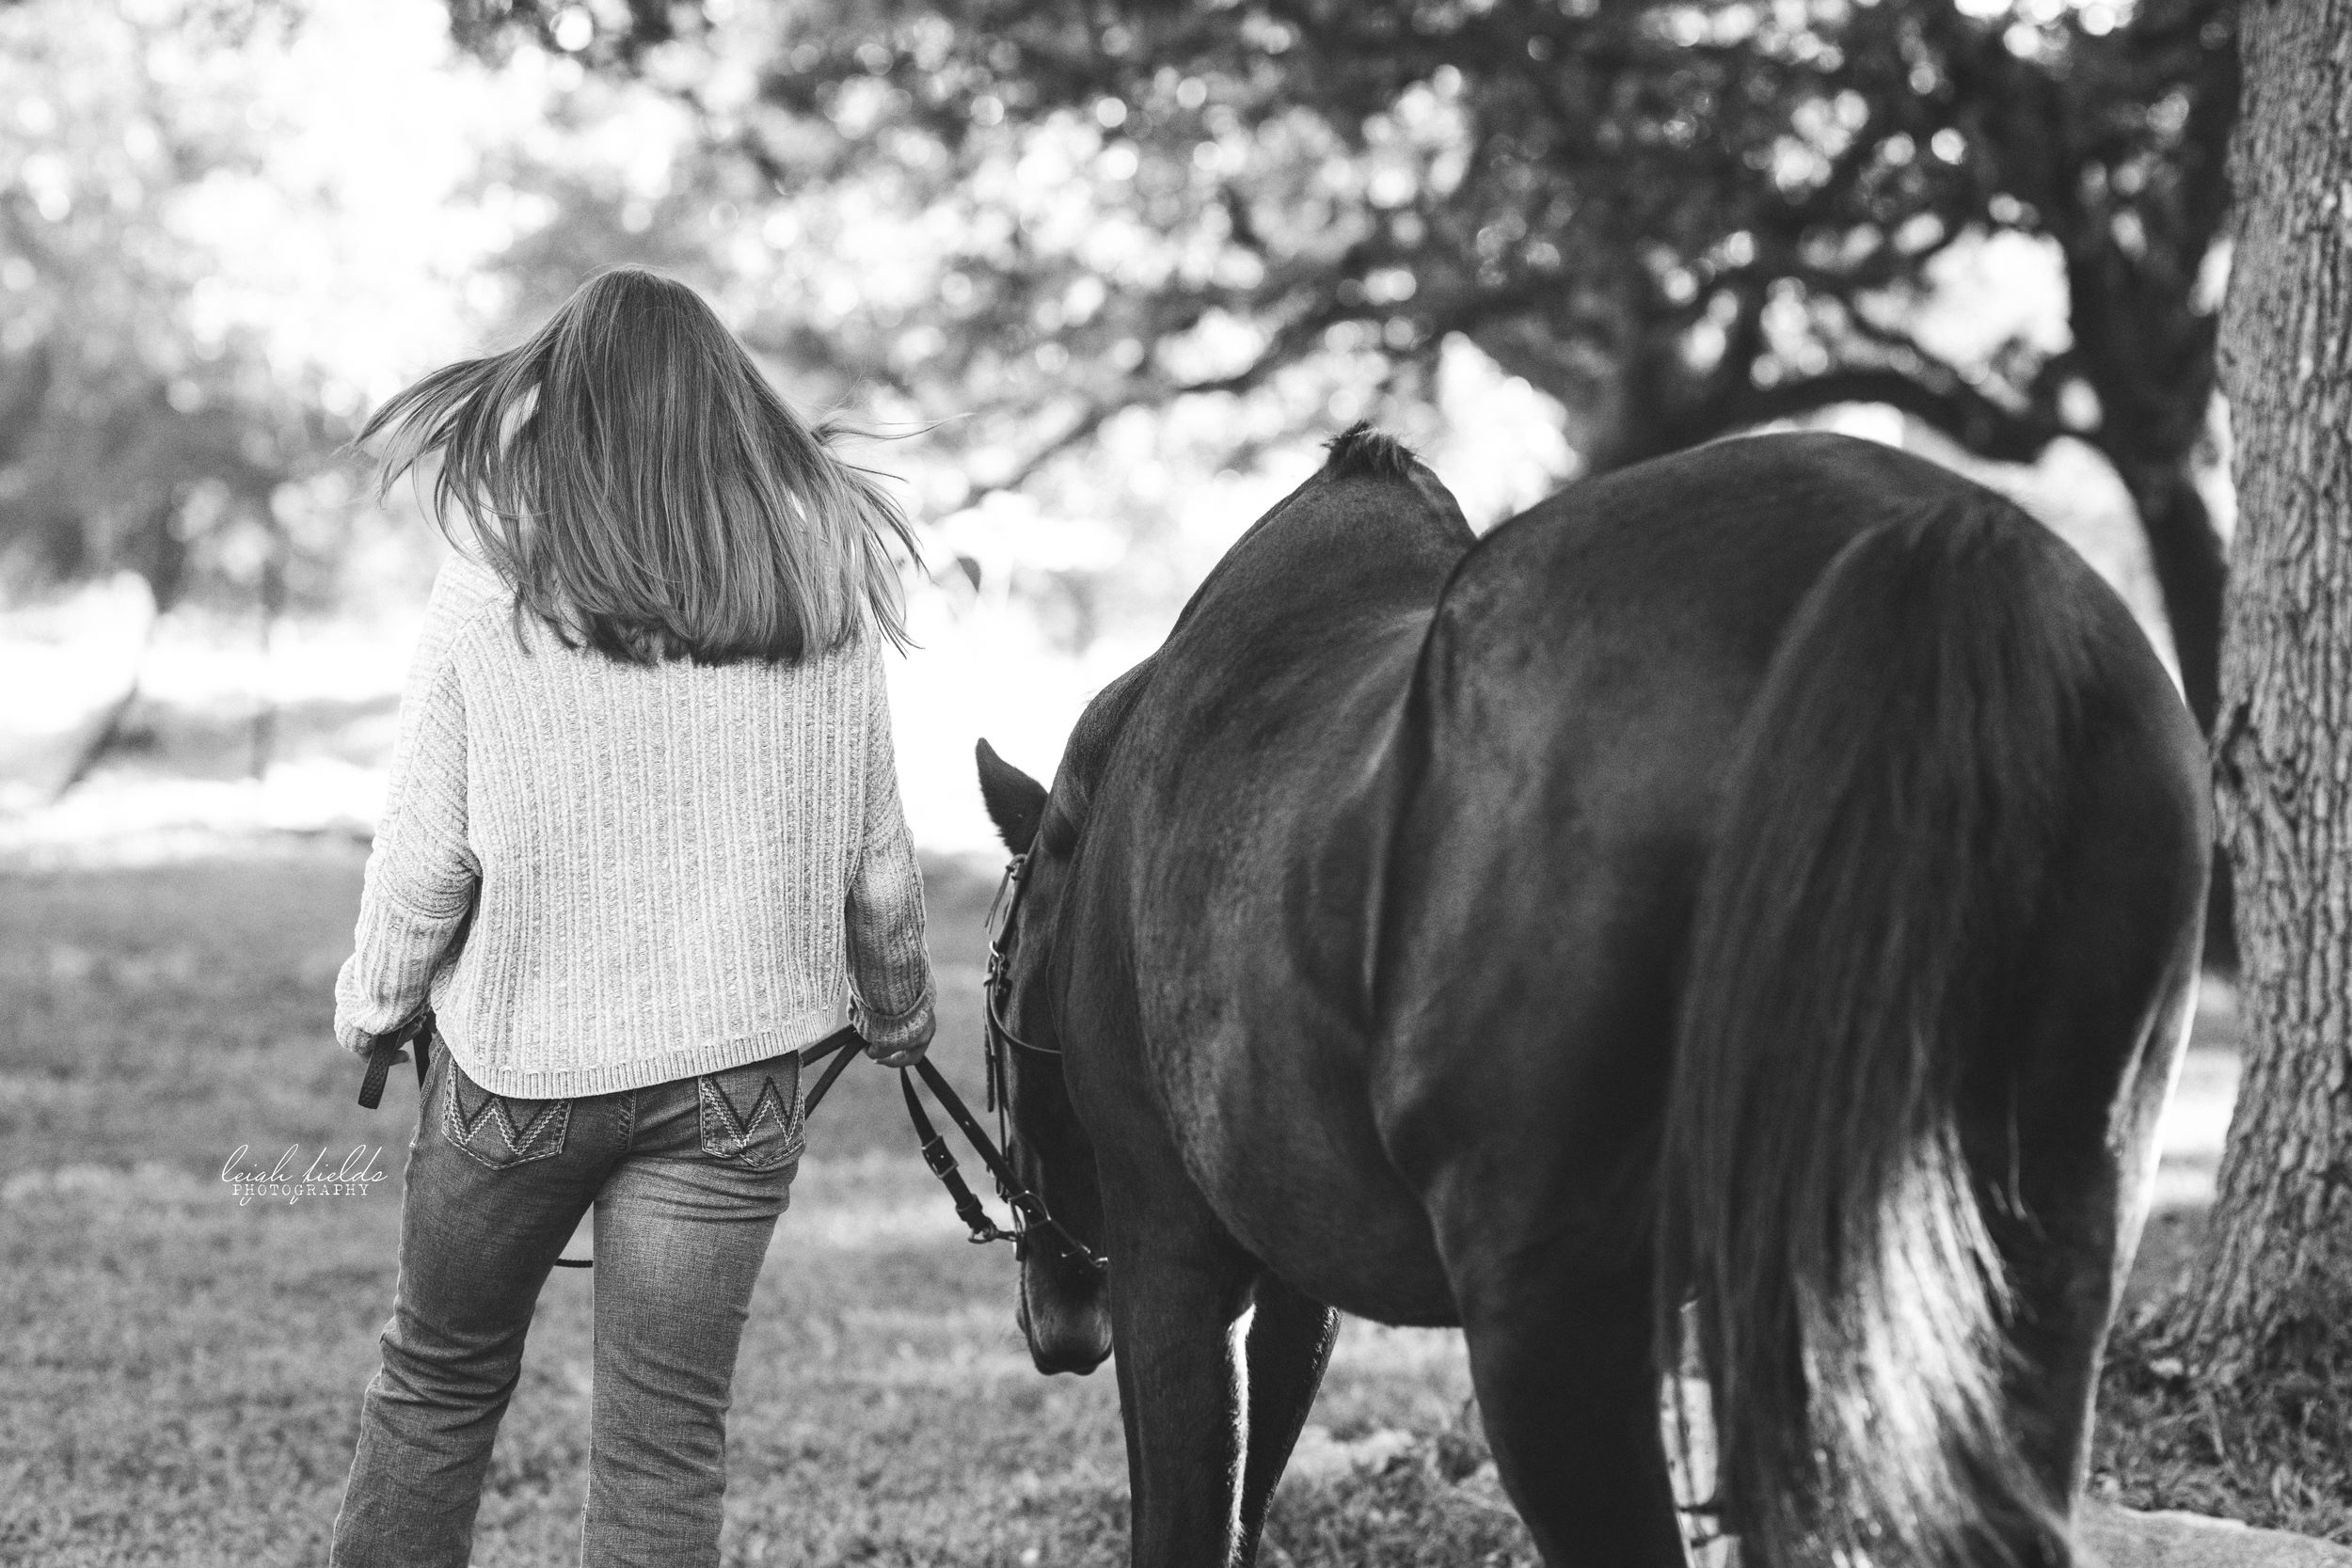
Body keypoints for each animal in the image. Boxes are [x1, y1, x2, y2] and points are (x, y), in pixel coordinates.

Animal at [970, 425, 2210, 1568]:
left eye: (1001, 973)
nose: (1055, 1323)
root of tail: (1925, 538)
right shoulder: (1288, 1279)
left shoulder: (1179, 1258)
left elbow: (1188, 1515)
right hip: (2034, 1250)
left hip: (1550, 1324)